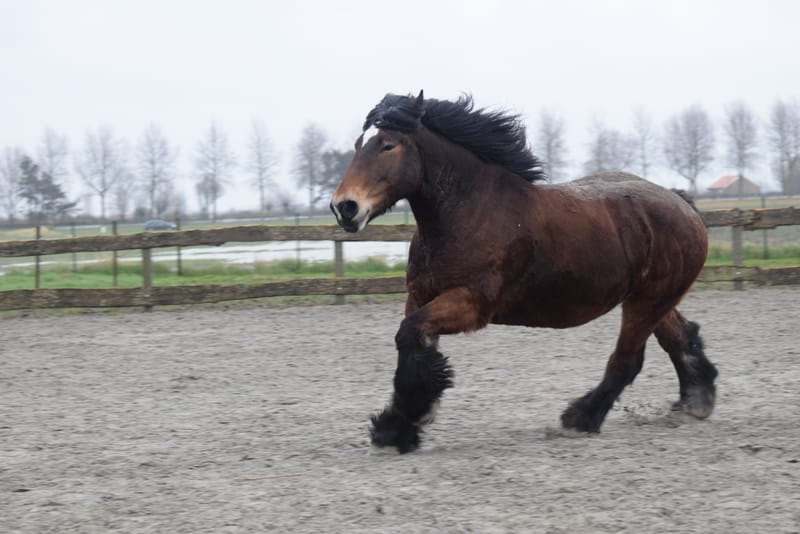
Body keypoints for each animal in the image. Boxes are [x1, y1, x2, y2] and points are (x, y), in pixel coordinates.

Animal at [330, 91, 718, 453]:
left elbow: (410, 338)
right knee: (681, 338)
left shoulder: (471, 303)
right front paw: (397, 428)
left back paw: (580, 418)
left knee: (627, 360)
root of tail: (683, 205)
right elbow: (410, 351)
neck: (470, 210)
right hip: (653, 300)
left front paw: (398, 428)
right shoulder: (421, 297)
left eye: (388, 144)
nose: (345, 207)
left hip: (646, 302)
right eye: (359, 144)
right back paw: (695, 402)